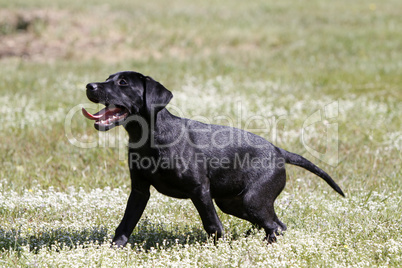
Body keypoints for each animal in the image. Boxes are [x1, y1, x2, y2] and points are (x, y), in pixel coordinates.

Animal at [82, 71, 346, 247]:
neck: (150, 138)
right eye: (109, 77)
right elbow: (126, 223)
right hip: (233, 202)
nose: (89, 86)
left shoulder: (200, 189)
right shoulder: (139, 191)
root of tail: (279, 151)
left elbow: (212, 225)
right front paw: (114, 249)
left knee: (274, 226)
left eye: (123, 83)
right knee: (277, 224)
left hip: (253, 199)